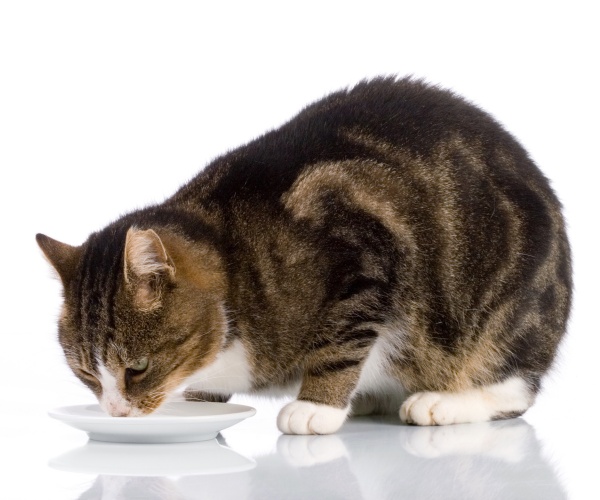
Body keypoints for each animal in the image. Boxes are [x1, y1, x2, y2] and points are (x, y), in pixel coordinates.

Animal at [37, 77, 572, 434]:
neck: (237, 257)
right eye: (86, 373)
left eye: (138, 368)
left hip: (506, 312)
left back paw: (443, 402)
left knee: (514, 384)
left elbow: (340, 343)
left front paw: (318, 405)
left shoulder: (361, 252)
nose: (116, 412)